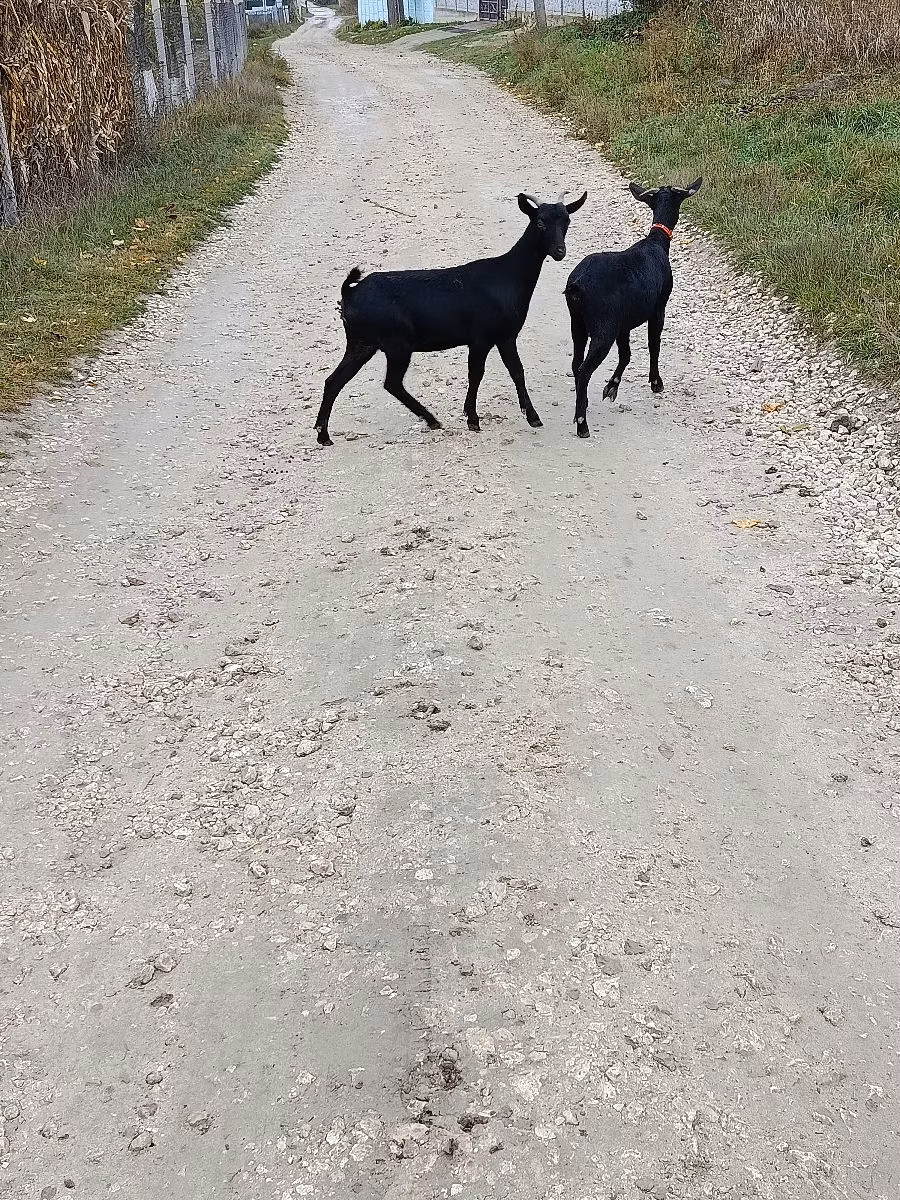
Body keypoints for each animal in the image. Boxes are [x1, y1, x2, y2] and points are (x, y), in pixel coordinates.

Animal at [315, 190, 588, 446]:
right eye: (540, 221)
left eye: (567, 220)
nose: (560, 251)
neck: (508, 276)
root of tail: (350, 293)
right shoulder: (481, 338)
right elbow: (477, 374)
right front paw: (473, 419)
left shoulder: (505, 336)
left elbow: (516, 371)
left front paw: (532, 417)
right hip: (396, 343)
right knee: (391, 383)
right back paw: (431, 419)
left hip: (361, 343)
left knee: (334, 381)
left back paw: (323, 435)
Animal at [564, 178, 702, 439]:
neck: (656, 243)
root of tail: (577, 286)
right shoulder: (658, 309)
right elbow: (653, 345)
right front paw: (656, 383)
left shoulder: (623, 324)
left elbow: (626, 355)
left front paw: (612, 387)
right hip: (603, 328)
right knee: (585, 369)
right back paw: (582, 424)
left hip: (577, 323)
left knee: (577, 364)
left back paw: (582, 405)